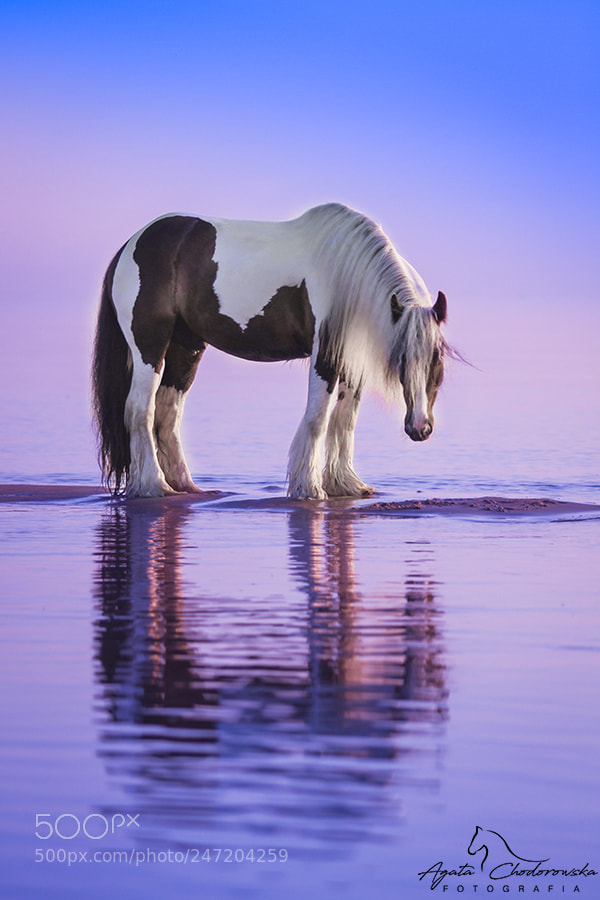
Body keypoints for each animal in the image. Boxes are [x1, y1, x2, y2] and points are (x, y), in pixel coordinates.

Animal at [92, 202, 449, 498]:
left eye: (437, 361)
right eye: (402, 357)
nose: (420, 428)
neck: (347, 275)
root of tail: (132, 244)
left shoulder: (350, 360)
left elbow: (344, 421)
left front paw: (346, 485)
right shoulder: (325, 356)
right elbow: (318, 418)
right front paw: (309, 488)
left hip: (186, 347)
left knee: (166, 414)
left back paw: (185, 486)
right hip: (150, 345)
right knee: (140, 409)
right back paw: (154, 485)